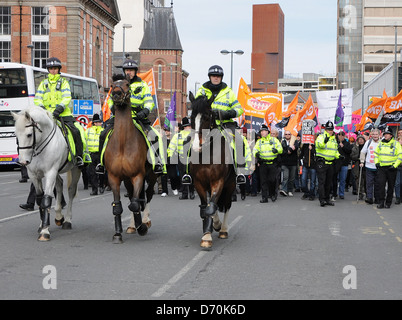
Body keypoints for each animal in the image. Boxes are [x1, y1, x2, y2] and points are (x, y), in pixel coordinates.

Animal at [12, 106, 81, 241]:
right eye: (16, 135)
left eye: (29, 134)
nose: (23, 161)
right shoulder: (34, 175)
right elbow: (40, 199)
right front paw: (42, 225)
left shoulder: (50, 173)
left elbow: (46, 199)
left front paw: (45, 231)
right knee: (59, 185)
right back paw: (59, 216)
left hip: (75, 169)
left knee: (71, 191)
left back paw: (67, 221)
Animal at [104, 76, 156, 244]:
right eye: (112, 85)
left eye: (127, 84)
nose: (116, 94)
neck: (122, 143)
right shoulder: (114, 177)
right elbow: (118, 207)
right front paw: (118, 233)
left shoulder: (138, 175)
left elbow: (134, 204)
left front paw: (142, 227)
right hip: (126, 180)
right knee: (135, 196)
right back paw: (133, 225)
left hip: (152, 176)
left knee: (147, 196)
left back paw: (144, 222)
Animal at [188, 91, 236, 249]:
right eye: (192, 117)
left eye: (207, 117)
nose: (196, 146)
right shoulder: (199, 183)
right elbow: (206, 207)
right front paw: (208, 231)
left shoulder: (218, 181)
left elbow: (212, 206)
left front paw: (210, 233)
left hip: (230, 185)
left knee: (227, 205)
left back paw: (223, 230)